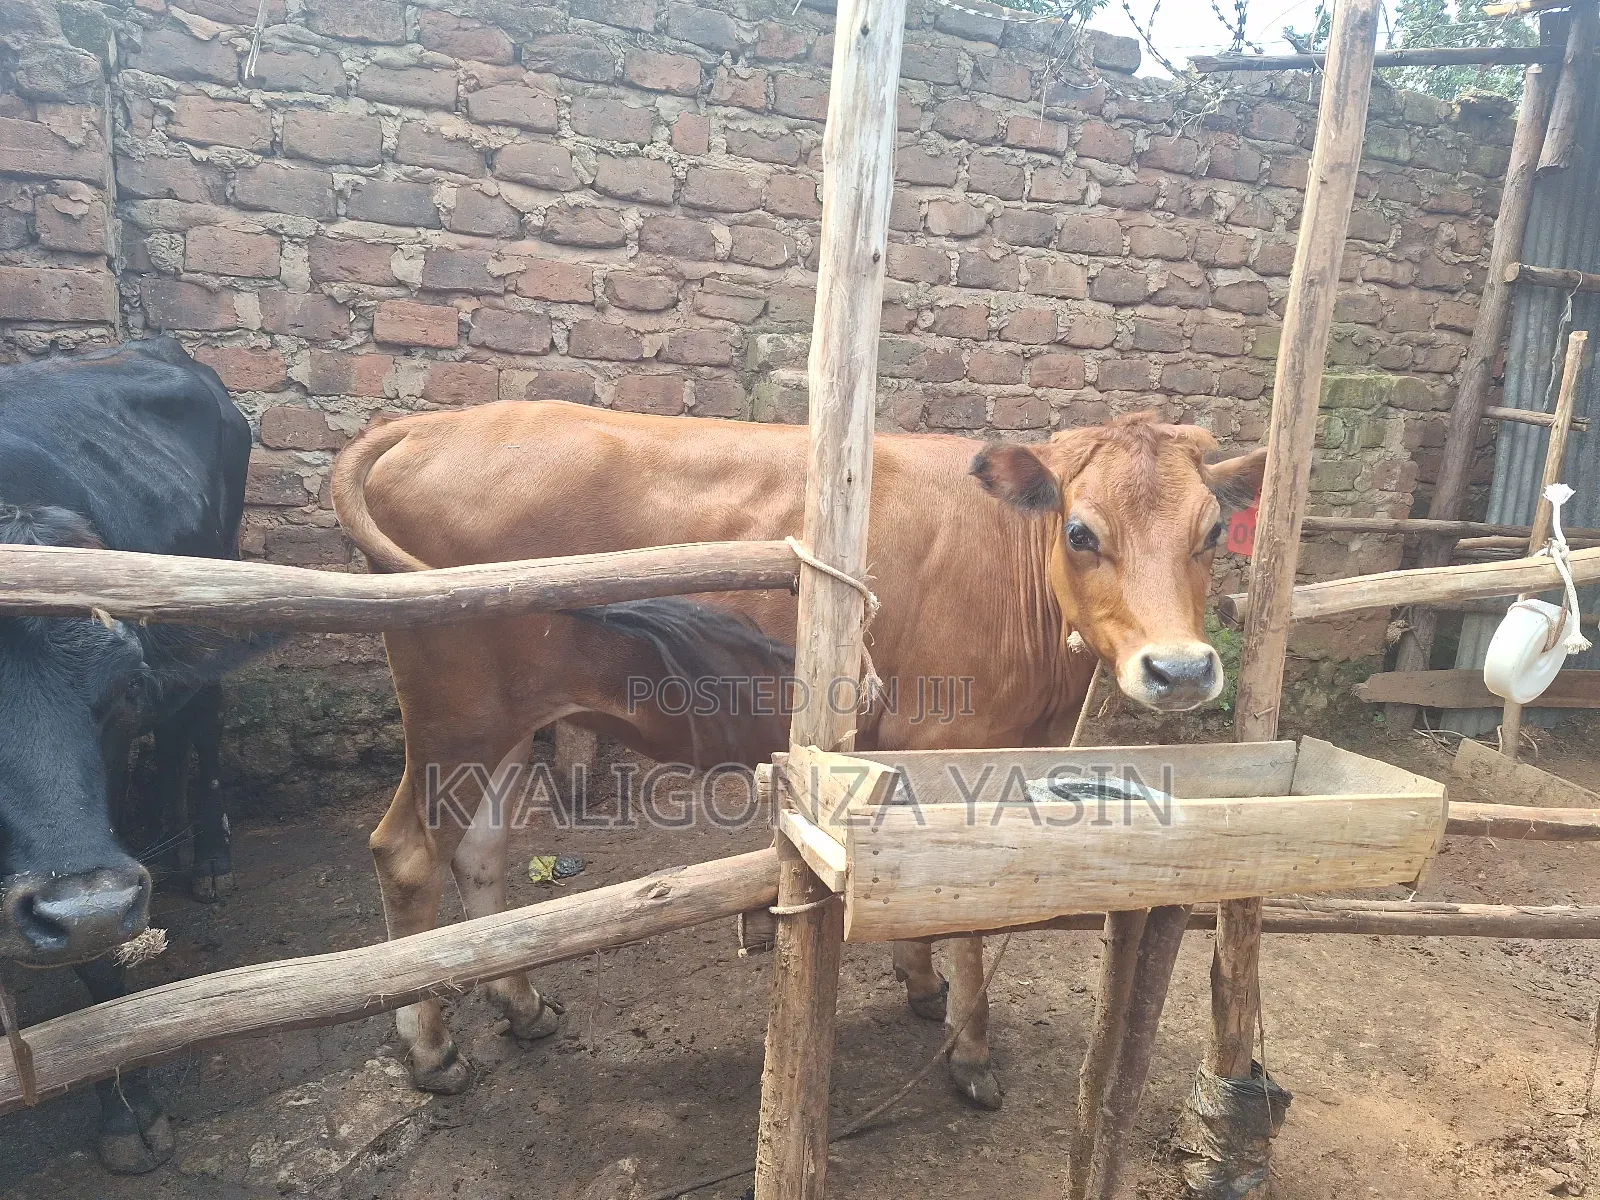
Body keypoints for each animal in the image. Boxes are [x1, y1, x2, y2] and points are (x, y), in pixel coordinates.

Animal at [0, 337, 255, 1171]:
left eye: (115, 692)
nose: (85, 907)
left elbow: (97, 965)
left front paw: (129, 1113)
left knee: (200, 717)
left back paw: (209, 857)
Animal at [330, 400, 1265, 1109]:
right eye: (1079, 531)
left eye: (1214, 530)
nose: (1182, 668)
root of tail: (440, 422)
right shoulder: (959, 747)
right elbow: (962, 913)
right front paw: (970, 1052)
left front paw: (922, 986)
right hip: (456, 713)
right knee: (407, 855)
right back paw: (432, 1051)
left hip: (505, 727)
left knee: (481, 851)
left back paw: (521, 1005)